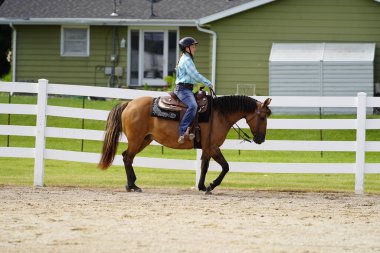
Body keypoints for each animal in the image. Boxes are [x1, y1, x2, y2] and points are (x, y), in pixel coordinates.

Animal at [97, 94, 270, 195]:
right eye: (262, 117)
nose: (261, 139)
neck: (219, 114)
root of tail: (128, 104)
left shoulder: (209, 147)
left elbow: (209, 166)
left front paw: (203, 186)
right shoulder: (212, 146)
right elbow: (222, 167)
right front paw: (210, 186)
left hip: (144, 140)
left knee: (127, 157)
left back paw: (132, 184)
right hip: (136, 140)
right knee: (127, 158)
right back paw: (132, 185)